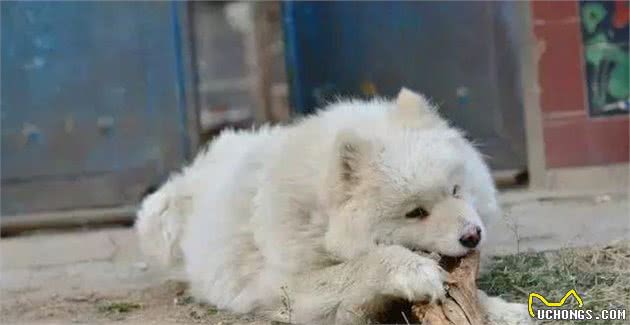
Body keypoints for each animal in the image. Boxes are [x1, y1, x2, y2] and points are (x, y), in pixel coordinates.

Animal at [138, 88, 532, 324]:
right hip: (160, 219)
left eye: (455, 190)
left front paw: (502, 310)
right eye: (415, 213)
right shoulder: (285, 288)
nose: (472, 235)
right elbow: (360, 267)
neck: (318, 217)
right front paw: (414, 273)